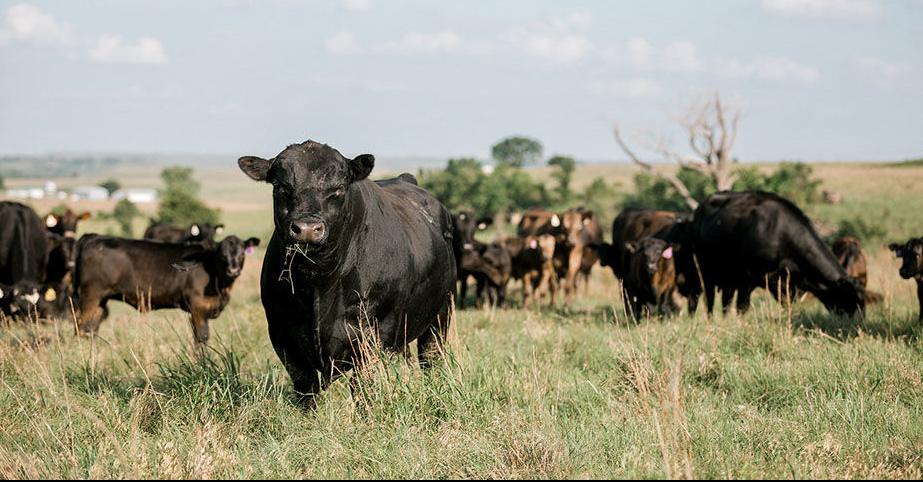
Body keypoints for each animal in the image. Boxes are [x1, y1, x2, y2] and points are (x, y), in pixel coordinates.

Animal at [73, 234, 259, 343]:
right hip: (90, 296)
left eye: (242, 253)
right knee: (81, 328)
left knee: (90, 329)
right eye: (222, 254)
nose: (233, 270)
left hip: (100, 301)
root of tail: (94, 237)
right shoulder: (197, 307)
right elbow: (201, 338)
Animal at [237, 140, 457, 407]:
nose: (307, 228)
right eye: (281, 186)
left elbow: (363, 385)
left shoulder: (376, 332)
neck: (319, 281)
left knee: (431, 358)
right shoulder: (282, 332)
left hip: (440, 314)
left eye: (339, 188)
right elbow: (306, 387)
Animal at [690, 191, 864, 316]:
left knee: (725, 302)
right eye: (848, 296)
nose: (858, 321)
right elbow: (743, 307)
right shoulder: (749, 279)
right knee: (708, 301)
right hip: (705, 272)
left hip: (729, 278)